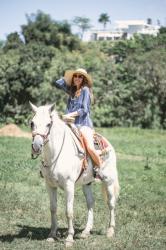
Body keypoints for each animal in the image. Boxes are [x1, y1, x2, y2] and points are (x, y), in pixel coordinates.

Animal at [28, 102, 119, 247]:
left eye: (48, 124)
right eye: (32, 123)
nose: (36, 146)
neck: (55, 156)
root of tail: (108, 143)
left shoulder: (69, 185)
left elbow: (69, 211)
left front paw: (69, 238)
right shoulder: (50, 185)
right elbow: (53, 208)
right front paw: (52, 235)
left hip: (109, 181)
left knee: (111, 203)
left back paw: (110, 231)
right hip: (87, 184)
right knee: (90, 203)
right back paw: (86, 232)